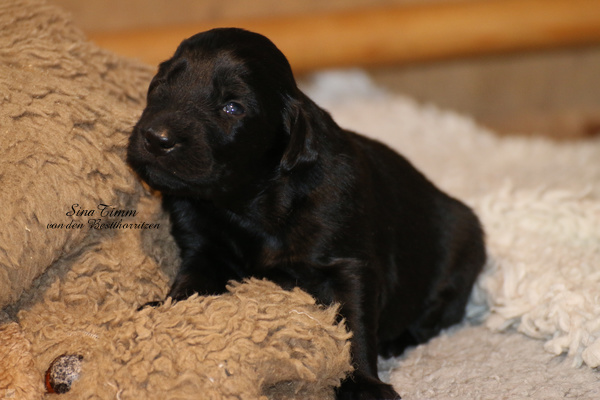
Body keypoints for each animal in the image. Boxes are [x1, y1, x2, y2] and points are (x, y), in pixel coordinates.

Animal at [127, 28, 486, 400]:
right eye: (160, 85)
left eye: (232, 107)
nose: (156, 138)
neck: (248, 201)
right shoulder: (203, 248)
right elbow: (191, 285)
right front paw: (166, 313)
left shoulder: (348, 264)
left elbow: (353, 325)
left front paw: (362, 383)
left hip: (462, 256)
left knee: (430, 319)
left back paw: (394, 343)